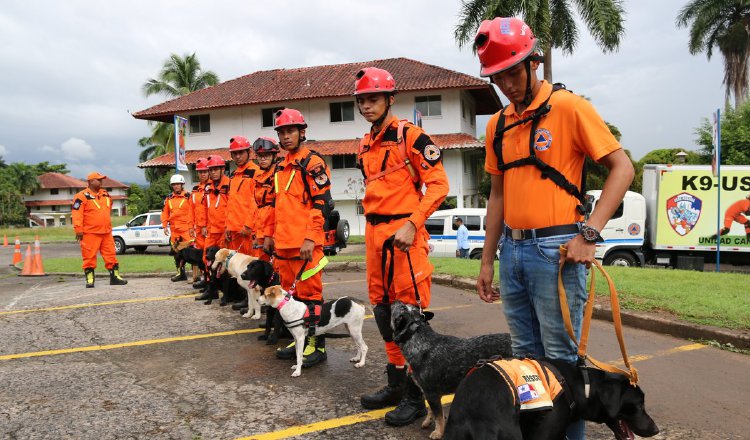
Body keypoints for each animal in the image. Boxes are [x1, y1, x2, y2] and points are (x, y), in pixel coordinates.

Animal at [390, 300, 516, 438]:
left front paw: (438, 432)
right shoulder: (429, 393)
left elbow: (439, 416)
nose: (395, 300)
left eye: (400, 307)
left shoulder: (432, 392)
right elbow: (431, 411)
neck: (420, 341)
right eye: (405, 305)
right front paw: (428, 421)